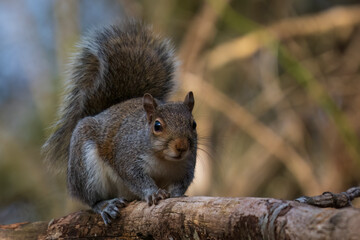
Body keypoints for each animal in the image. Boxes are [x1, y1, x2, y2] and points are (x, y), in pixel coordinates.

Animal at [41, 21, 197, 225]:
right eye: (157, 126)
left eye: (193, 124)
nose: (181, 147)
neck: (164, 160)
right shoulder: (126, 155)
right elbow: (134, 177)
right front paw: (153, 193)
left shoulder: (187, 167)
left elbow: (181, 183)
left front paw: (178, 195)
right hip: (86, 168)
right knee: (91, 198)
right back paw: (105, 206)